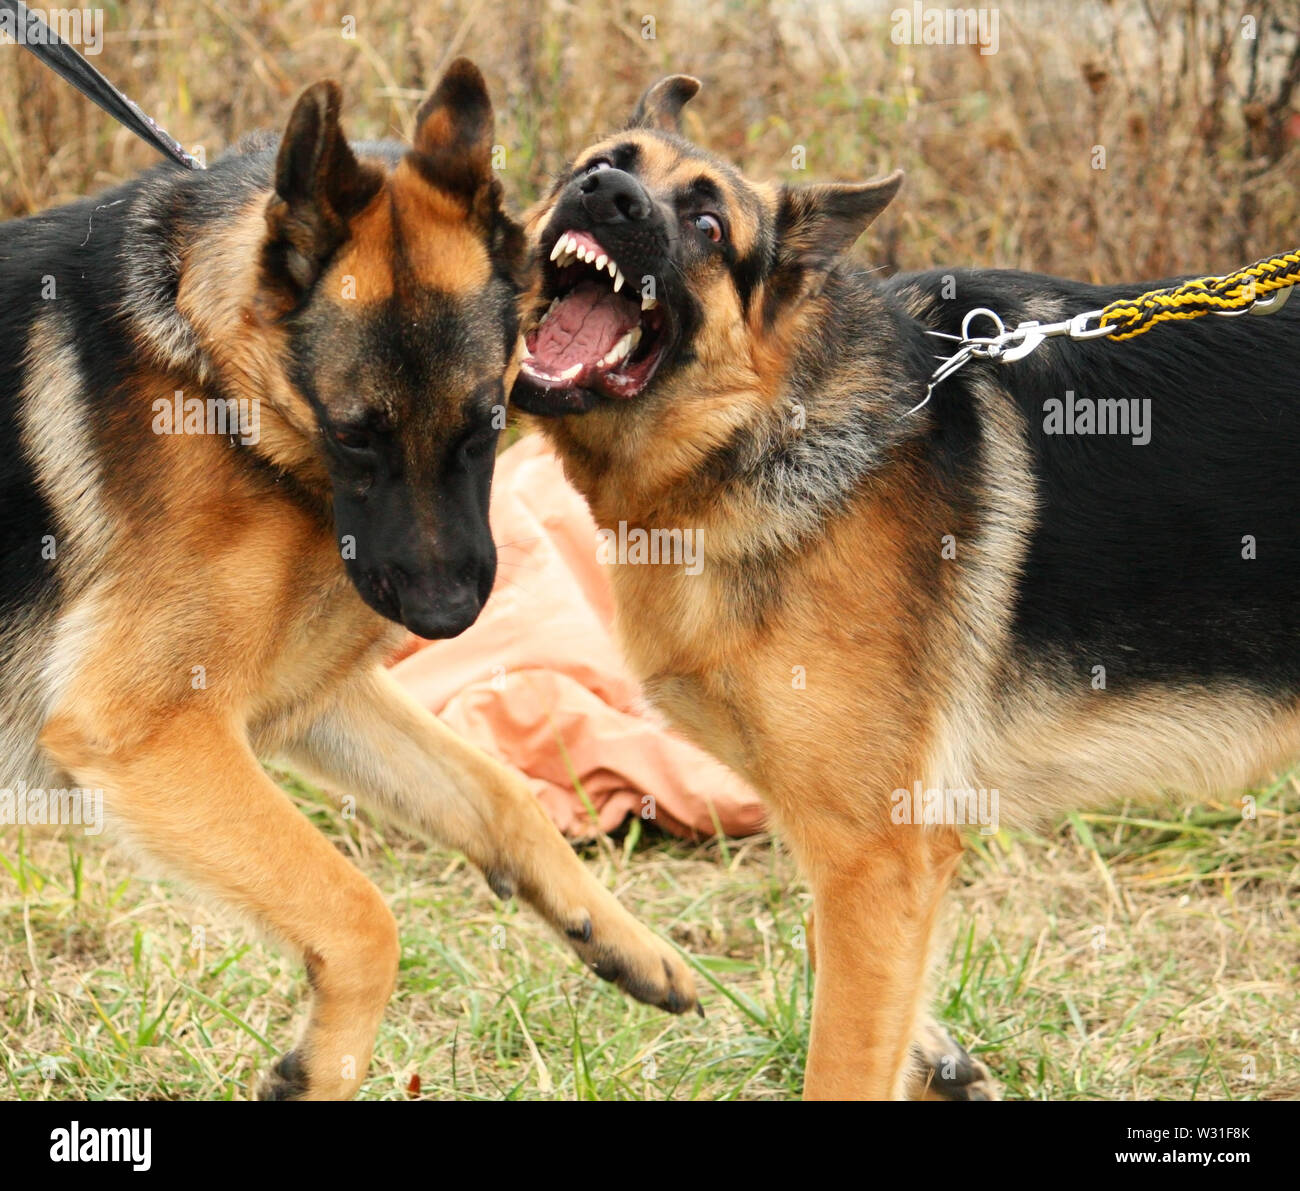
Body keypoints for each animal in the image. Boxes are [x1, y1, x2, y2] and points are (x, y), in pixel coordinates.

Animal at [0, 62, 696, 1107]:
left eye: (486, 422)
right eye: (356, 432)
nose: (447, 616)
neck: (217, 379)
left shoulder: (302, 700)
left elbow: (500, 790)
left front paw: (620, 936)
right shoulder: (147, 731)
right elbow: (362, 913)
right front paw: (320, 1069)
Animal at [512, 74, 1300, 1097]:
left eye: (710, 225)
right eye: (601, 165)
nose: (607, 197)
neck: (772, 419)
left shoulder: (878, 851)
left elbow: (841, 1052)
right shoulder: (859, 861)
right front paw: (940, 1061)